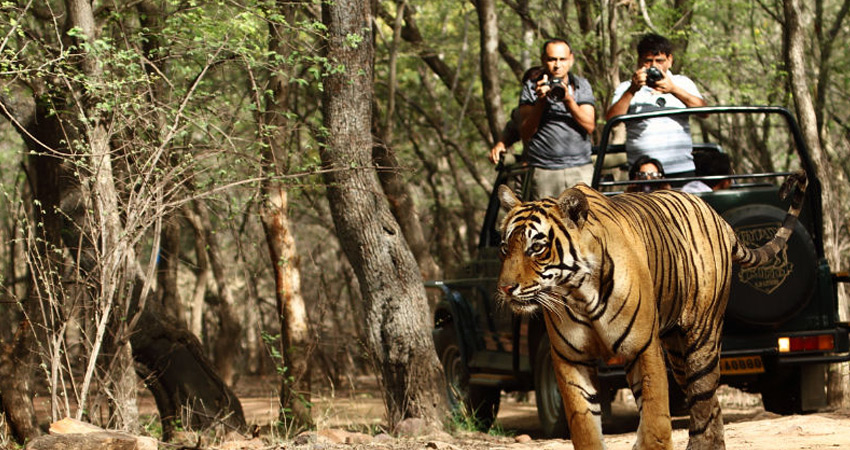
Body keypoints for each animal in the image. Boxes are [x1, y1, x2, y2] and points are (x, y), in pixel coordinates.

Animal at [496, 170, 808, 450]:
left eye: (537, 248)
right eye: (504, 248)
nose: (505, 288)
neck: (579, 293)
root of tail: (719, 217)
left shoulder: (643, 348)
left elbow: (655, 420)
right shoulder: (569, 358)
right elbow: (584, 424)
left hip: (701, 338)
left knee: (703, 400)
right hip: (677, 352)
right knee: (710, 406)